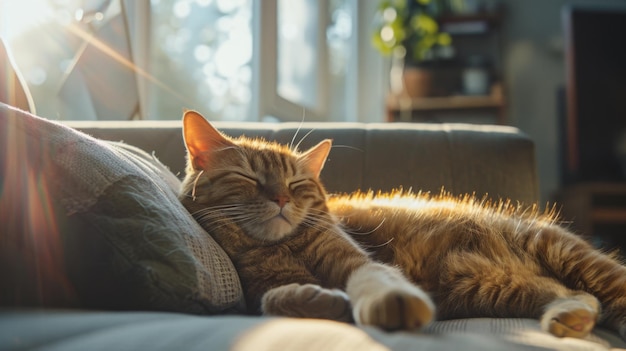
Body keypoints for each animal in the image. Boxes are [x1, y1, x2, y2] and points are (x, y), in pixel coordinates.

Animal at [178, 110, 624, 340]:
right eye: (248, 178)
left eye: (297, 183)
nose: (281, 199)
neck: (281, 246)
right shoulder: (263, 287)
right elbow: (275, 298)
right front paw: (320, 301)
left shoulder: (357, 259)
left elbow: (373, 279)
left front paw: (386, 301)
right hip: (498, 288)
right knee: (573, 294)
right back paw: (570, 317)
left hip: (568, 255)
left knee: (604, 294)